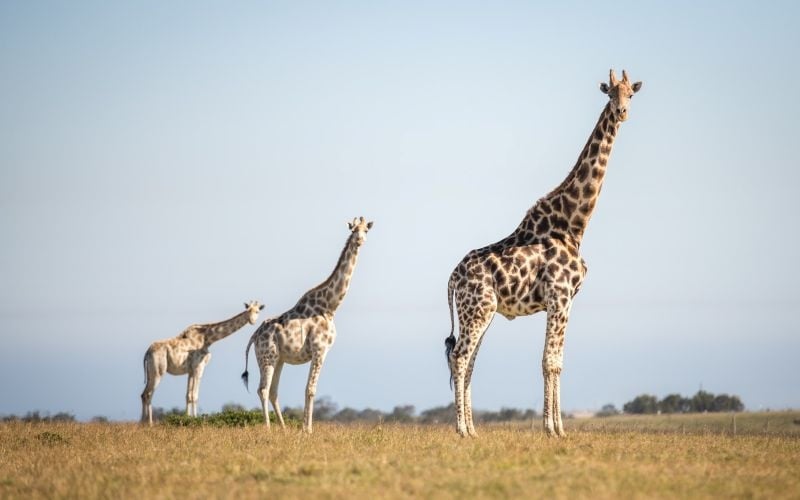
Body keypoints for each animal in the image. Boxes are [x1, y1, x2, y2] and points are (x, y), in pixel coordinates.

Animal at [241, 217, 373, 434]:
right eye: (353, 230)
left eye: (365, 231)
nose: (359, 241)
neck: (330, 306)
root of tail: (254, 336)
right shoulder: (320, 349)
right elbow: (311, 389)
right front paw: (307, 430)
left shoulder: (319, 351)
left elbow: (308, 389)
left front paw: (304, 428)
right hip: (267, 356)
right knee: (263, 389)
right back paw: (268, 428)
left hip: (279, 359)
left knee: (273, 391)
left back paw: (284, 428)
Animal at [444, 69, 642, 437]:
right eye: (610, 93)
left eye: (631, 94)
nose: (622, 112)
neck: (574, 224)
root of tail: (452, 278)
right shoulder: (559, 295)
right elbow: (550, 361)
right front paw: (552, 429)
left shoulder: (567, 300)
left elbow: (557, 362)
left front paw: (559, 428)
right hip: (477, 309)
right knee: (460, 357)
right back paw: (462, 430)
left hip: (481, 312)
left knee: (471, 360)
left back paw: (474, 430)